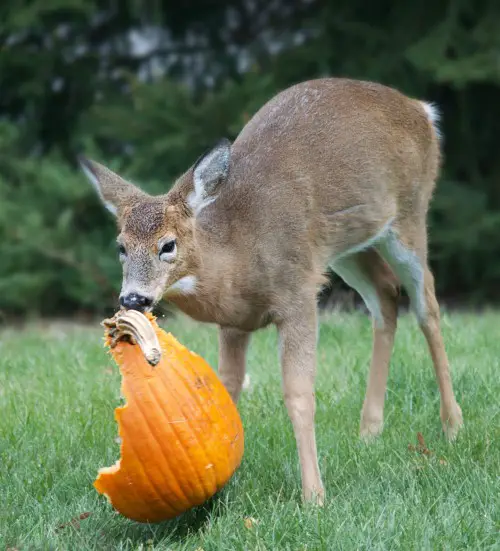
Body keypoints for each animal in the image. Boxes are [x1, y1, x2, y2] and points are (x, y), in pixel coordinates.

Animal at [80, 76, 462, 504]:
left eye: (168, 245)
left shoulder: (297, 294)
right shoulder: (234, 322)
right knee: (385, 296)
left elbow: (298, 394)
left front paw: (314, 496)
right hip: (347, 243)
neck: (237, 255)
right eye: (121, 246)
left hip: (410, 212)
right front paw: (223, 480)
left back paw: (452, 426)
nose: (134, 298)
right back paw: (369, 431)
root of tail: (422, 110)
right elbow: (226, 391)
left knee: (427, 302)